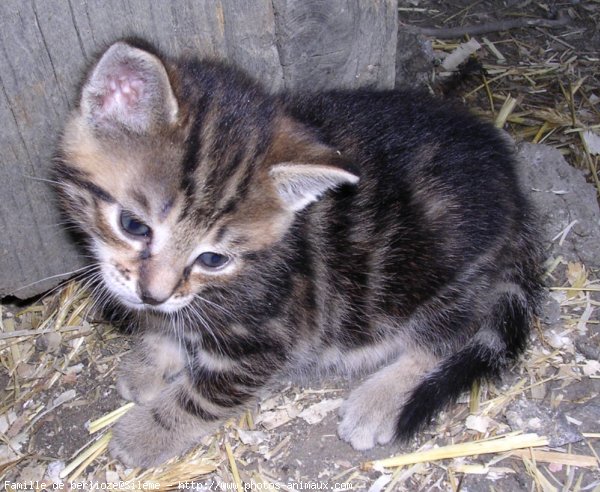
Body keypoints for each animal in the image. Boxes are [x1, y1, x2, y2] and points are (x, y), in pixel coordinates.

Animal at [54, 40, 548, 468]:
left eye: (213, 259)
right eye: (133, 226)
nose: (152, 294)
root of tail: (516, 194)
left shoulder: (266, 337)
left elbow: (204, 395)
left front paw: (146, 433)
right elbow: (169, 325)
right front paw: (152, 356)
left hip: (437, 278)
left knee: (451, 334)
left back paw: (379, 401)